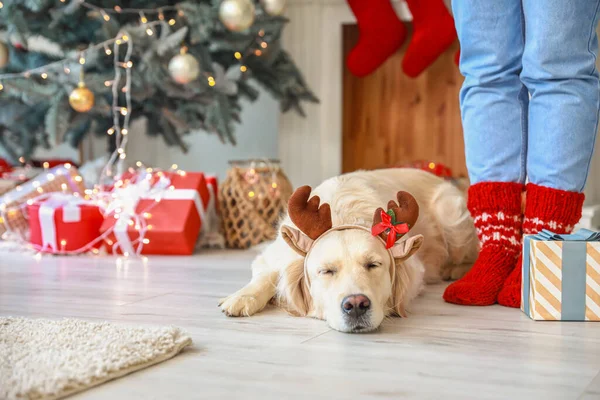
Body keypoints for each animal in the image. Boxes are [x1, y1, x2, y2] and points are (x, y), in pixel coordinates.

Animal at [220, 168, 478, 332]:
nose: (356, 305)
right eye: (326, 271)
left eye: (373, 265)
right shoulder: (272, 255)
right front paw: (242, 297)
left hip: (452, 214)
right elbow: (266, 276)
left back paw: (456, 271)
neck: (341, 215)